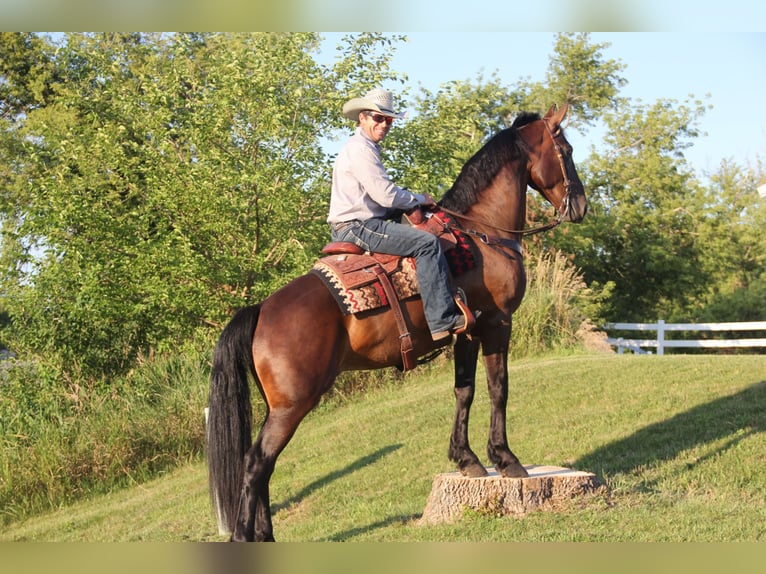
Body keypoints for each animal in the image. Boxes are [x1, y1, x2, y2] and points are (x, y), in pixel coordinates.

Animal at [206, 104, 588, 544]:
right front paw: (506, 460)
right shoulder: (496, 323)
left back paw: (265, 536)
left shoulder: (467, 332)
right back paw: (243, 537)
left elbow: (464, 391)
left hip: (278, 407)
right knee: (256, 463)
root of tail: (262, 309)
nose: (581, 206)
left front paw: (466, 459)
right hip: (292, 405)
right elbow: (498, 389)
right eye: (567, 150)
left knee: (264, 465)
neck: (482, 232)